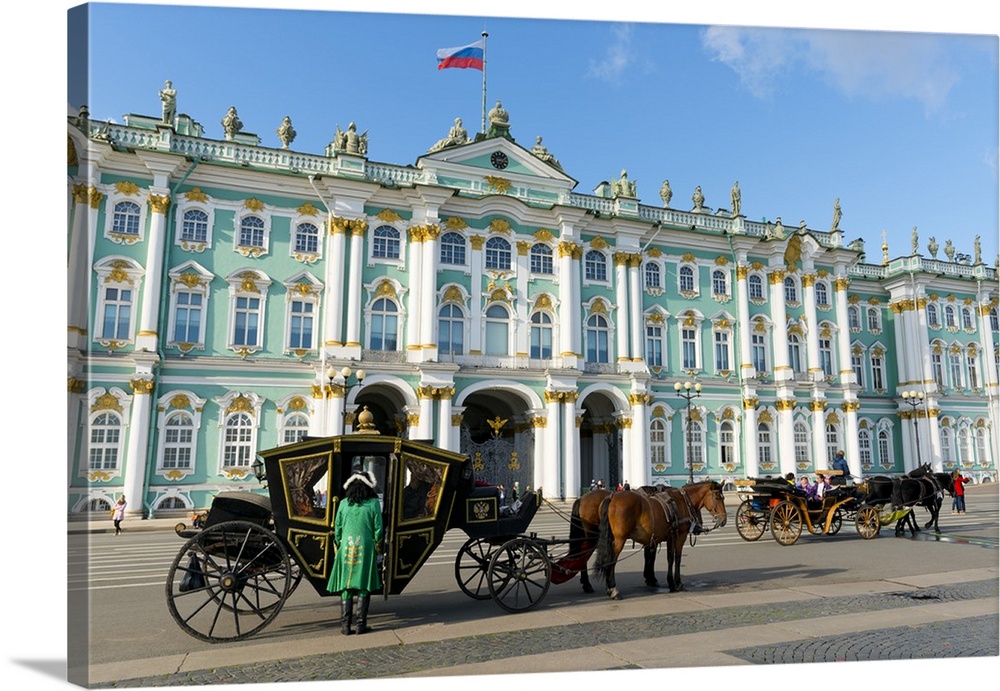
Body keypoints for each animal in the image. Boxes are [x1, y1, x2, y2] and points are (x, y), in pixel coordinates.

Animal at [592, 482, 728, 600]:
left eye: (724, 497)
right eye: (717, 497)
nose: (723, 520)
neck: (681, 501)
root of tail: (612, 496)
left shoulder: (668, 537)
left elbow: (668, 558)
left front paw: (668, 582)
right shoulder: (679, 537)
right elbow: (676, 558)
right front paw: (676, 583)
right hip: (620, 539)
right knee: (612, 561)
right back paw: (613, 590)